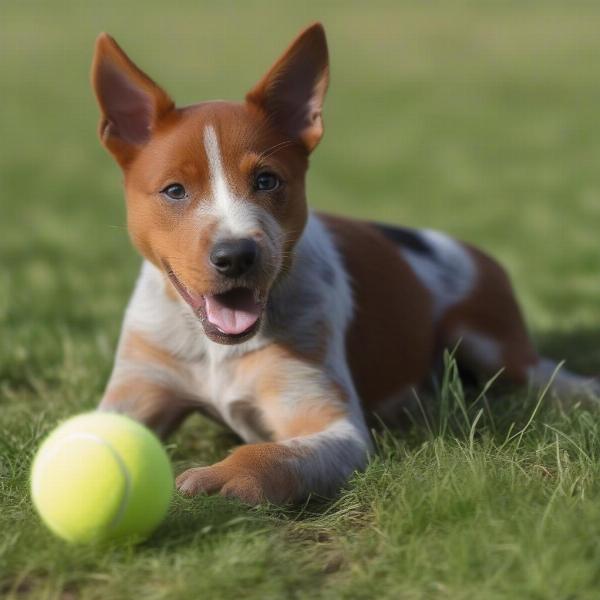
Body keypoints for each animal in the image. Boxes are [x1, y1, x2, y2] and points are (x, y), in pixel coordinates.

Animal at [91, 22, 596, 502]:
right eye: (174, 190)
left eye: (267, 181)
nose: (236, 255)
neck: (215, 348)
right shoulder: (137, 389)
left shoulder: (332, 424)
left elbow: (271, 457)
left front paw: (219, 479)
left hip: (492, 345)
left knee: (544, 375)